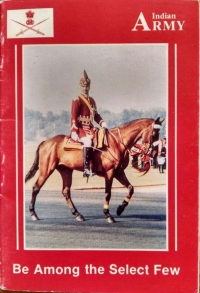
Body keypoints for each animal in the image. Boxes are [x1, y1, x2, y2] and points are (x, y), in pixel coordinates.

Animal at [25, 116, 163, 221]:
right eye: (154, 133)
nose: (155, 153)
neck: (117, 143)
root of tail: (46, 142)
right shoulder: (110, 172)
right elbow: (108, 193)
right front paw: (108, 214)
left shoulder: (119, 172)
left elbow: (131, 188)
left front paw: (120, 208)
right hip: (46, 169)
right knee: (36, 187)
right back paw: (33, 213)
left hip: (66, 171)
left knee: (66, 191)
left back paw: (77, 214)